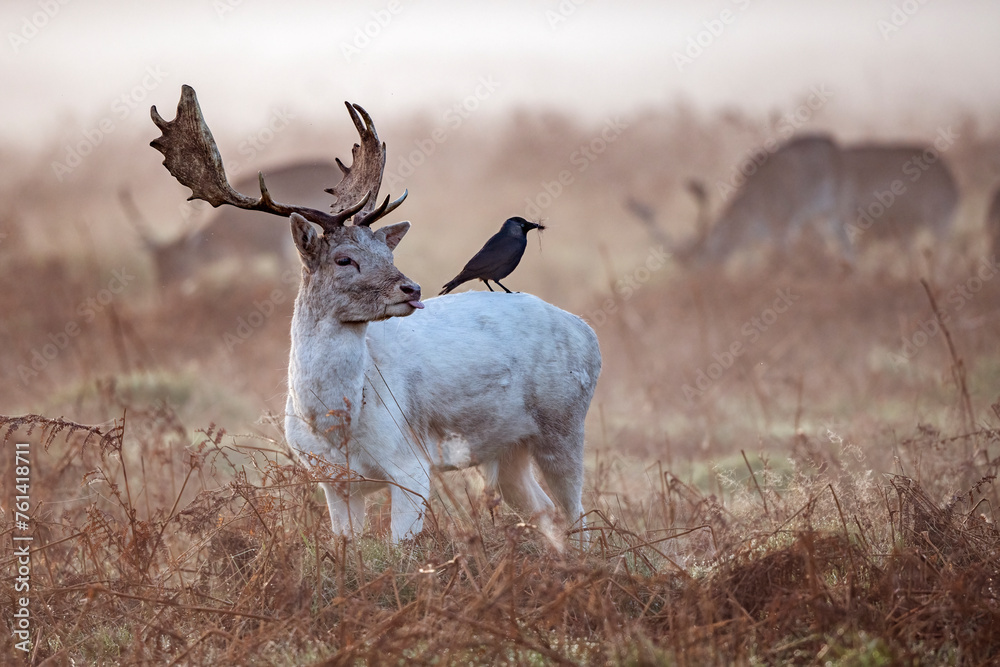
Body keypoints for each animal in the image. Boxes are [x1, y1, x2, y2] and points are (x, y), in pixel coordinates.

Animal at [150, 86, 601, 544]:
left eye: (388, 253)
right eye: (344, 259)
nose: (412, 288)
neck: (334, 426)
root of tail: (586, 330)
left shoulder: (411, 465)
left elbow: (400, 550)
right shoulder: (333, 481)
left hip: (564, 425)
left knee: (578, 514)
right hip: (508, 449)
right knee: (545, 511)